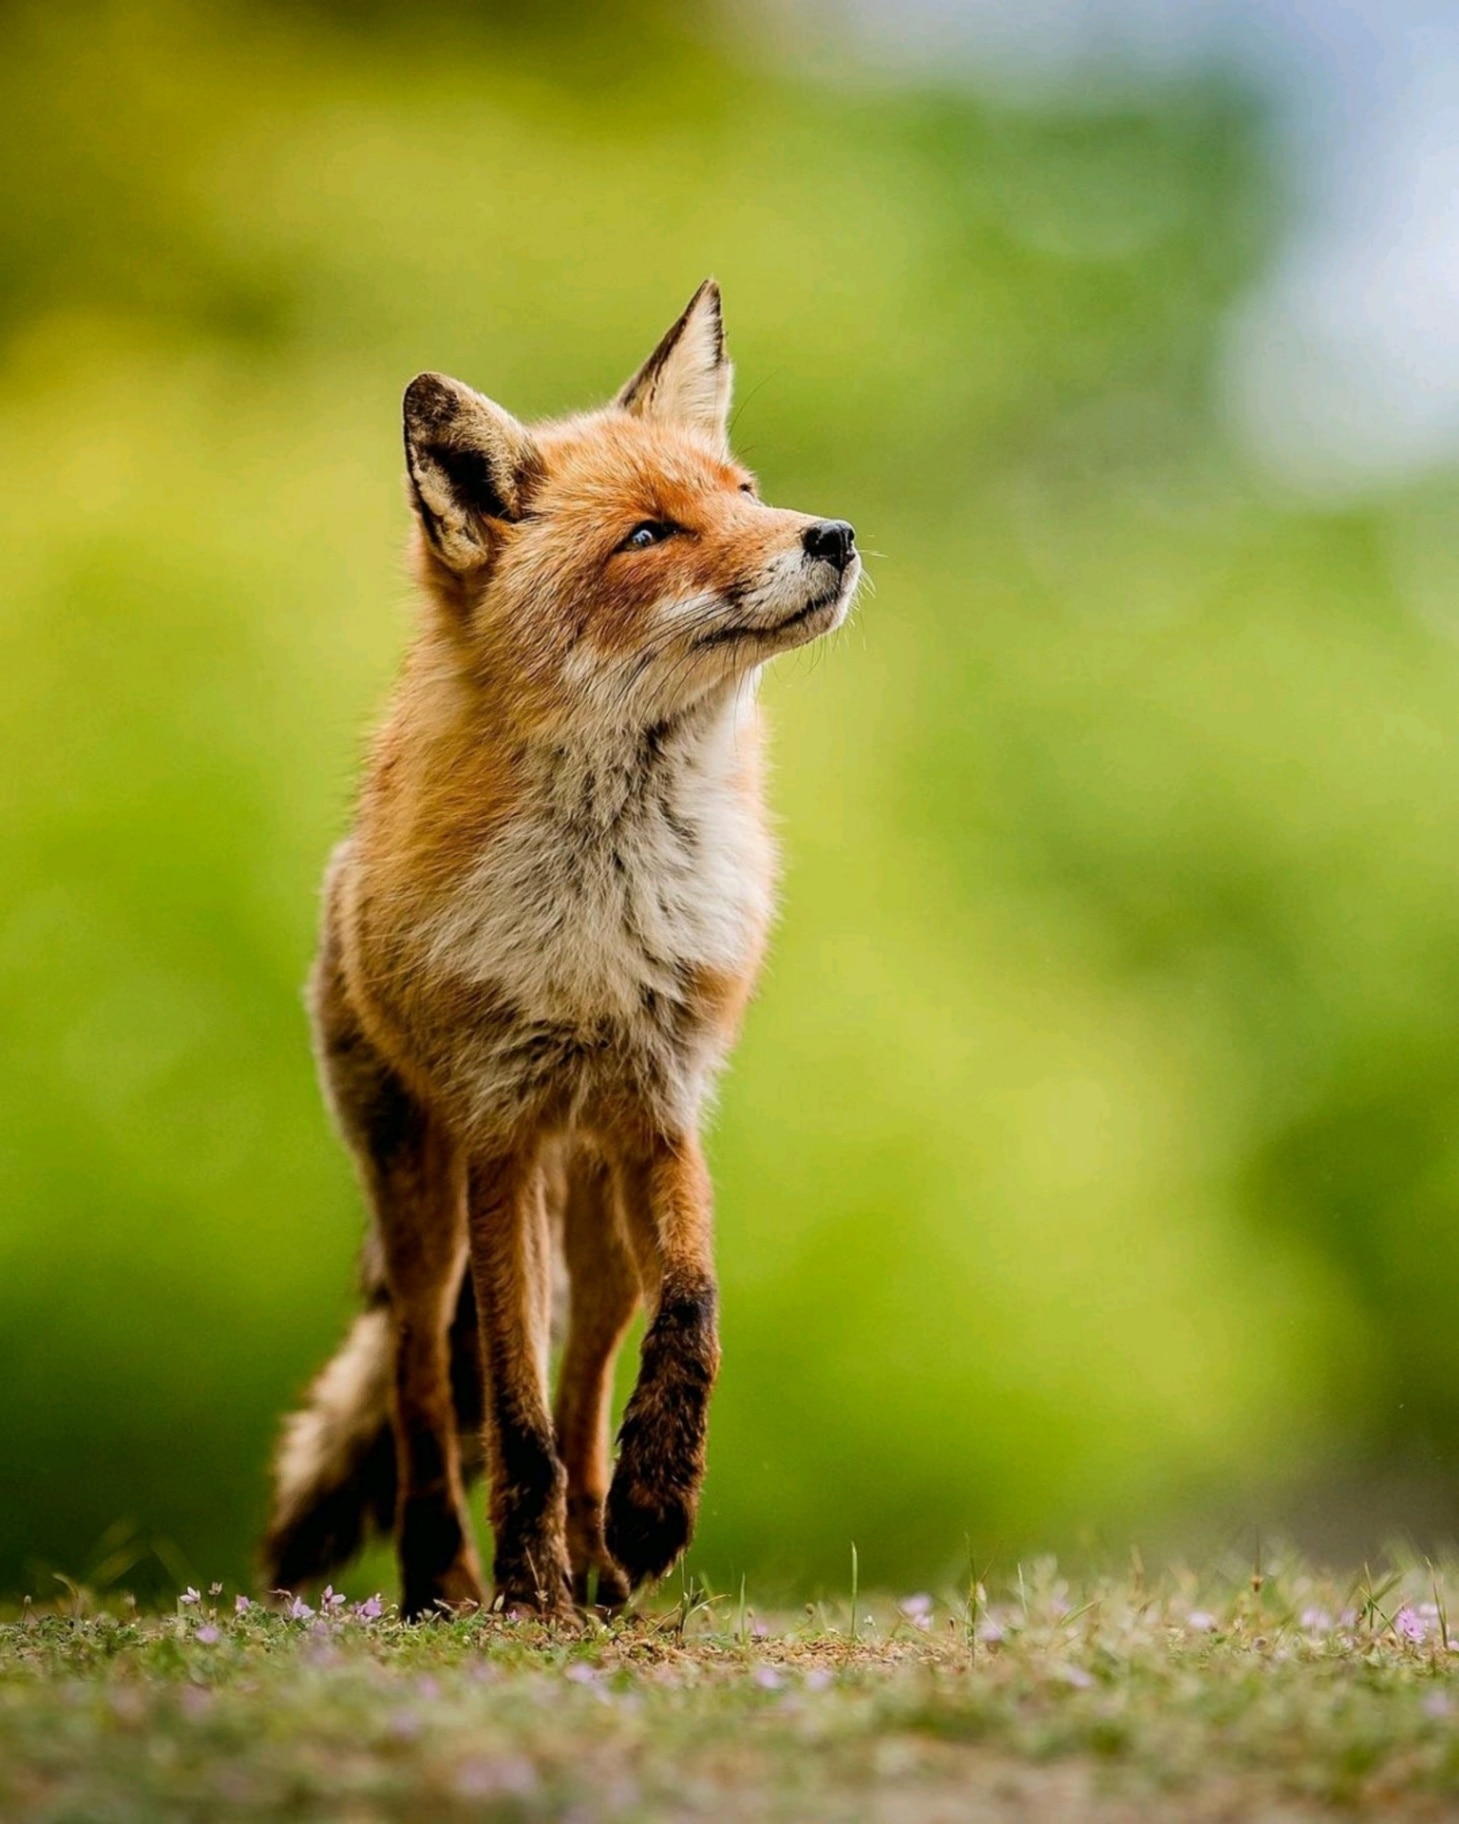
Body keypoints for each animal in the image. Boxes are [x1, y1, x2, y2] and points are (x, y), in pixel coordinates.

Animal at [261, 281, 860, 1618]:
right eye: (647, 535)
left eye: (744, 492)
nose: (835, 536)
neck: (604, 918)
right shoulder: (502, 1128)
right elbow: (510, 1412)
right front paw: (522, 1581)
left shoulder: (662, 1108)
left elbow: (692, 1316)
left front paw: (653, 1507)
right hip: (424, 1197)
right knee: (427, 1383)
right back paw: (449, 1576)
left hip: (594, 1217)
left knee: (589, 1376)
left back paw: (601, 1554)